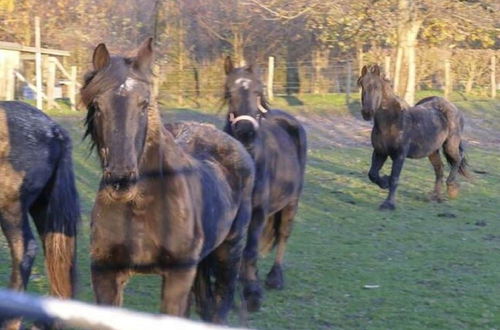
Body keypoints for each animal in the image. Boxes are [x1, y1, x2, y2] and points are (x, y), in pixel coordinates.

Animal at [81, 38, 254, 322]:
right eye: (96, 106)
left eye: (143, 104)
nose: (121, 180)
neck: (141, 207)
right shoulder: (105, 275)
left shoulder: (178, 276)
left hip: (230, 252)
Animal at [224, 56, 308, 312]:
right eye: (228, 92)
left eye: (258, 91)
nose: (245, 132)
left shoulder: (259, 211)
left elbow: (250, 249)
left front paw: (252, 292)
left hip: (291, 203)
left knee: (283, 235)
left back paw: (274, 278)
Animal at [356, 63, 468, 210]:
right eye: (361, 84)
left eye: (376, 86)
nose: (367, 112)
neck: (391, 122)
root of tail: (453, 108)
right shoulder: (380, 152)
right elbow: (373, 174)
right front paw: (385, 182)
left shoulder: (399, 155)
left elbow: (395, 178)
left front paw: (388, 204)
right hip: (432, 151)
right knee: (440, 169)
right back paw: (435, 197)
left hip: (450, 145)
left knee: (457, 159)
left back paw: (452, 188)